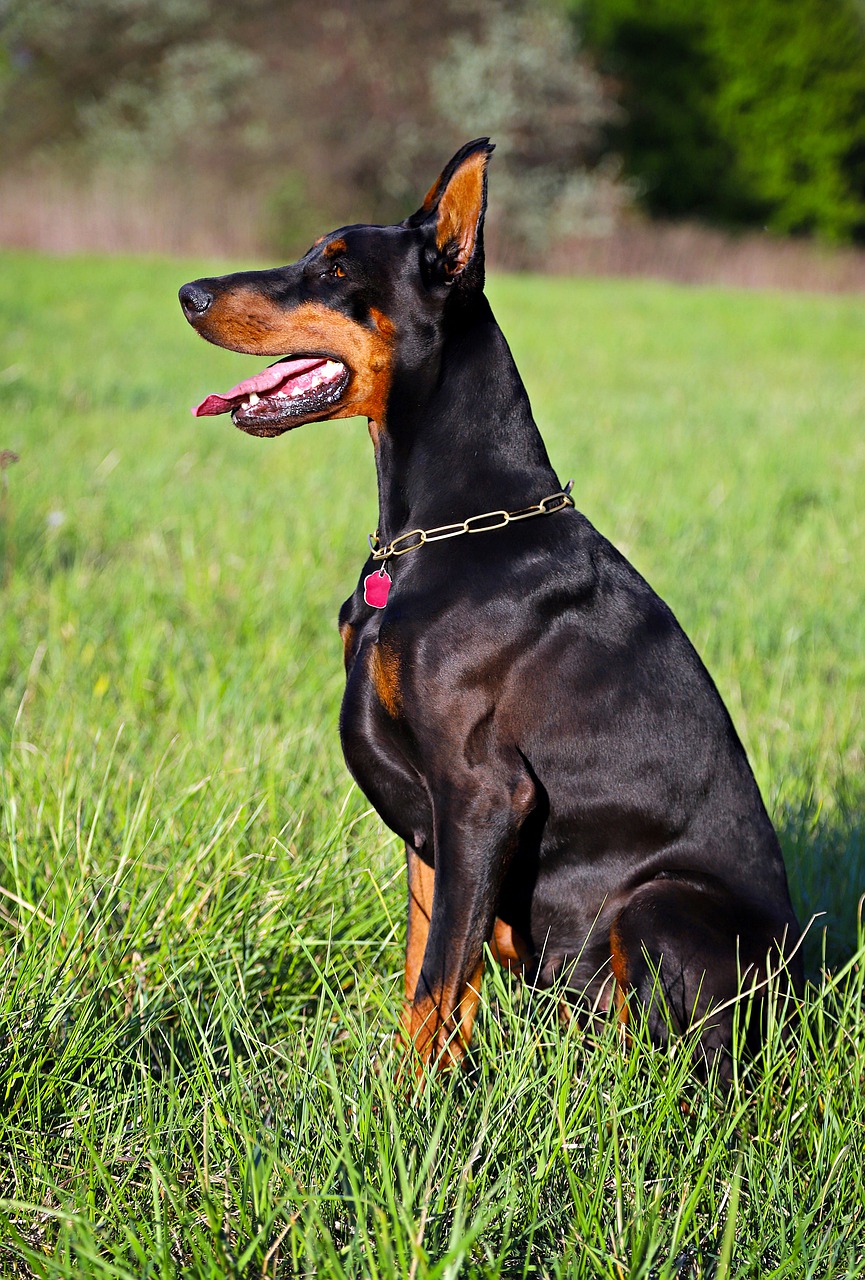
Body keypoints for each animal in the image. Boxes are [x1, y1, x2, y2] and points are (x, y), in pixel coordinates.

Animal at [180, 140, 803, 1080]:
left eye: (334, 267)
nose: (188, 293)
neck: (438, 530)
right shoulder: (434, 827)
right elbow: (431, 973)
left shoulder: (480, 790)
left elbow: (438, 979)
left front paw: (409, 1108)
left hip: (657, 904)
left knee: (680, 1065)